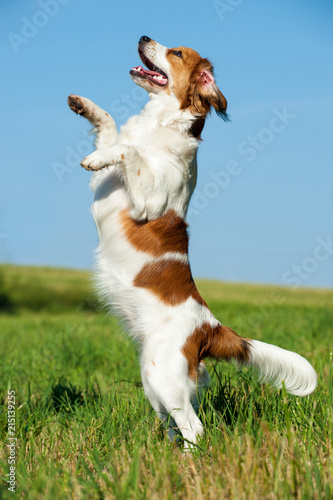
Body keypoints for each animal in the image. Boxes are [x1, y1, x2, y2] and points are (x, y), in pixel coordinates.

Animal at [67, 36, 316, 450]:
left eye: (177, 53)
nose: (143, 37)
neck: (160, 124)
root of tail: (210, 327)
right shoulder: (104, 183)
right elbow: (112, 129)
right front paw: (85, 107)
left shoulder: (149, 203)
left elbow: (128, 150)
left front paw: (101, 154)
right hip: (154, 380)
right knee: (175, 425)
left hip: (161, 375)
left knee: (195, 429)